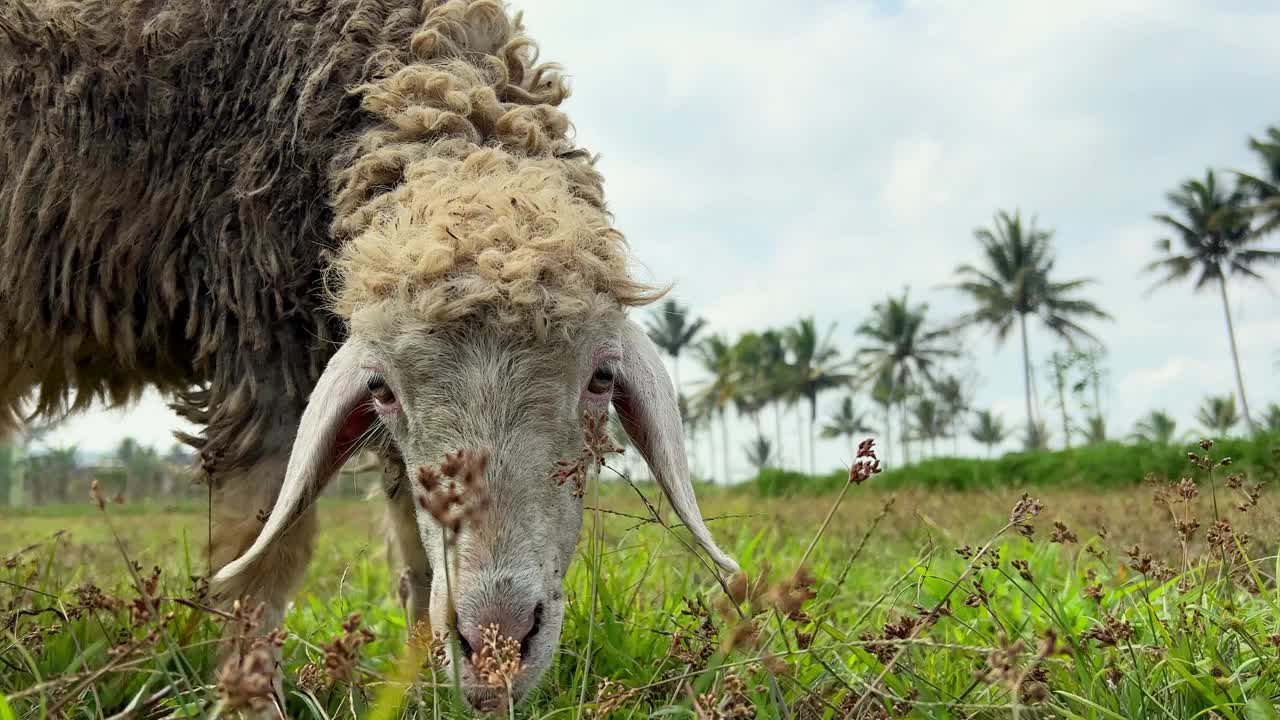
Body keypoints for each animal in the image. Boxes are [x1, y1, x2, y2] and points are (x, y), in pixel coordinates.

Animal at [0, 0, 742, 707]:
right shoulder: (257, 331)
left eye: (601, 378)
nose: (495, 649)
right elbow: (263, 553)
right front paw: (249, 698)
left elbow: (414, 558)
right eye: (382, 389)